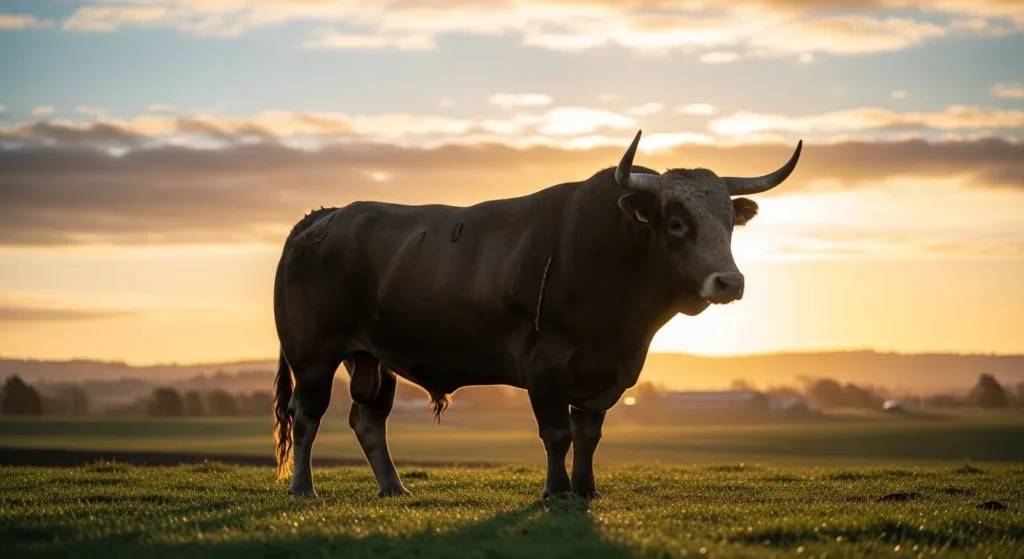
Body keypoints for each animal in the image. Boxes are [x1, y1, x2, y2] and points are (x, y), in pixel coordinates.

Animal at [271, 130, 802, 499]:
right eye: (676, 223)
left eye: (730, 223)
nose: (729, 283)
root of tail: (323, 217)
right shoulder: (545, 366)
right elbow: (557, 433)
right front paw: (557, 491)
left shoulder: (605, 372)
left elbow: (588, 434)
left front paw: (586, 489)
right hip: (313, 356)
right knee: (306, 415)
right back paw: (303, 488)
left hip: (374, 359)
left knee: (368, 419)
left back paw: (394, 487)